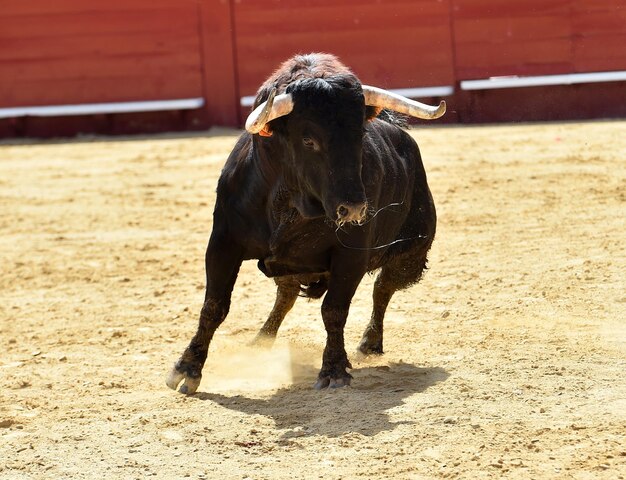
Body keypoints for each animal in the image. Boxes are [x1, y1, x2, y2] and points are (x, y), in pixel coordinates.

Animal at [163, 54, 442, 394]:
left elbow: (334, 309)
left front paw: (334, 370)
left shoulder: (352, 254)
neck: (291, 201)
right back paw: (260, 343)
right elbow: (214, 305)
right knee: (287, 294)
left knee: (383, 287)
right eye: (309, 140)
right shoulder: (222, 243)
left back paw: (369, 343)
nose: (353, 208)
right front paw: (187, 368)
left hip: (412, 253)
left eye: (360, 135)